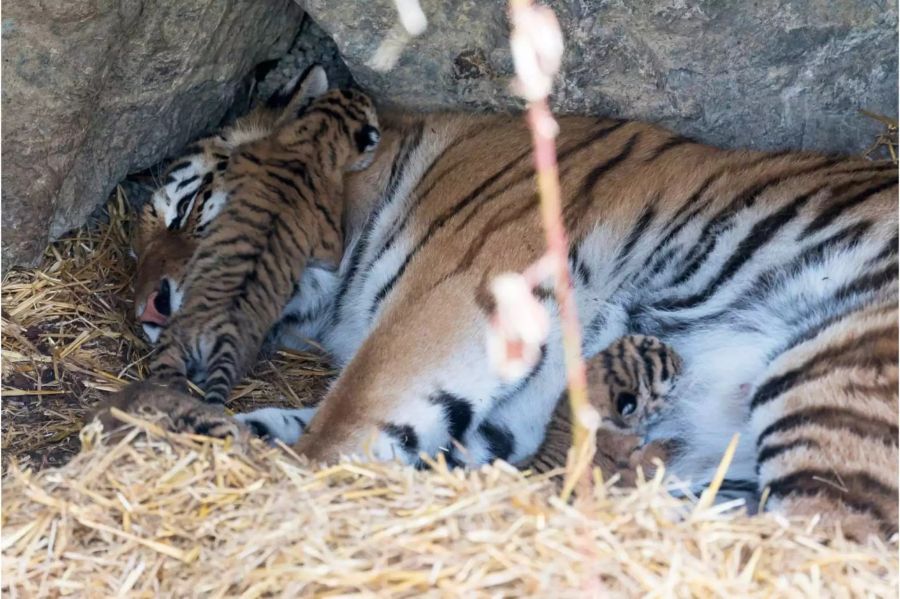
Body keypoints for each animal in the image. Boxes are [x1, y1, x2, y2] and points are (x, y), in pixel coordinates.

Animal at [121, 68, 900, 540]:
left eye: (191, 207)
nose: (149, 311)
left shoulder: (456, 295)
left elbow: (345, 417)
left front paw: (286, 484)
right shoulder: (530, 405)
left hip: (826, 373)